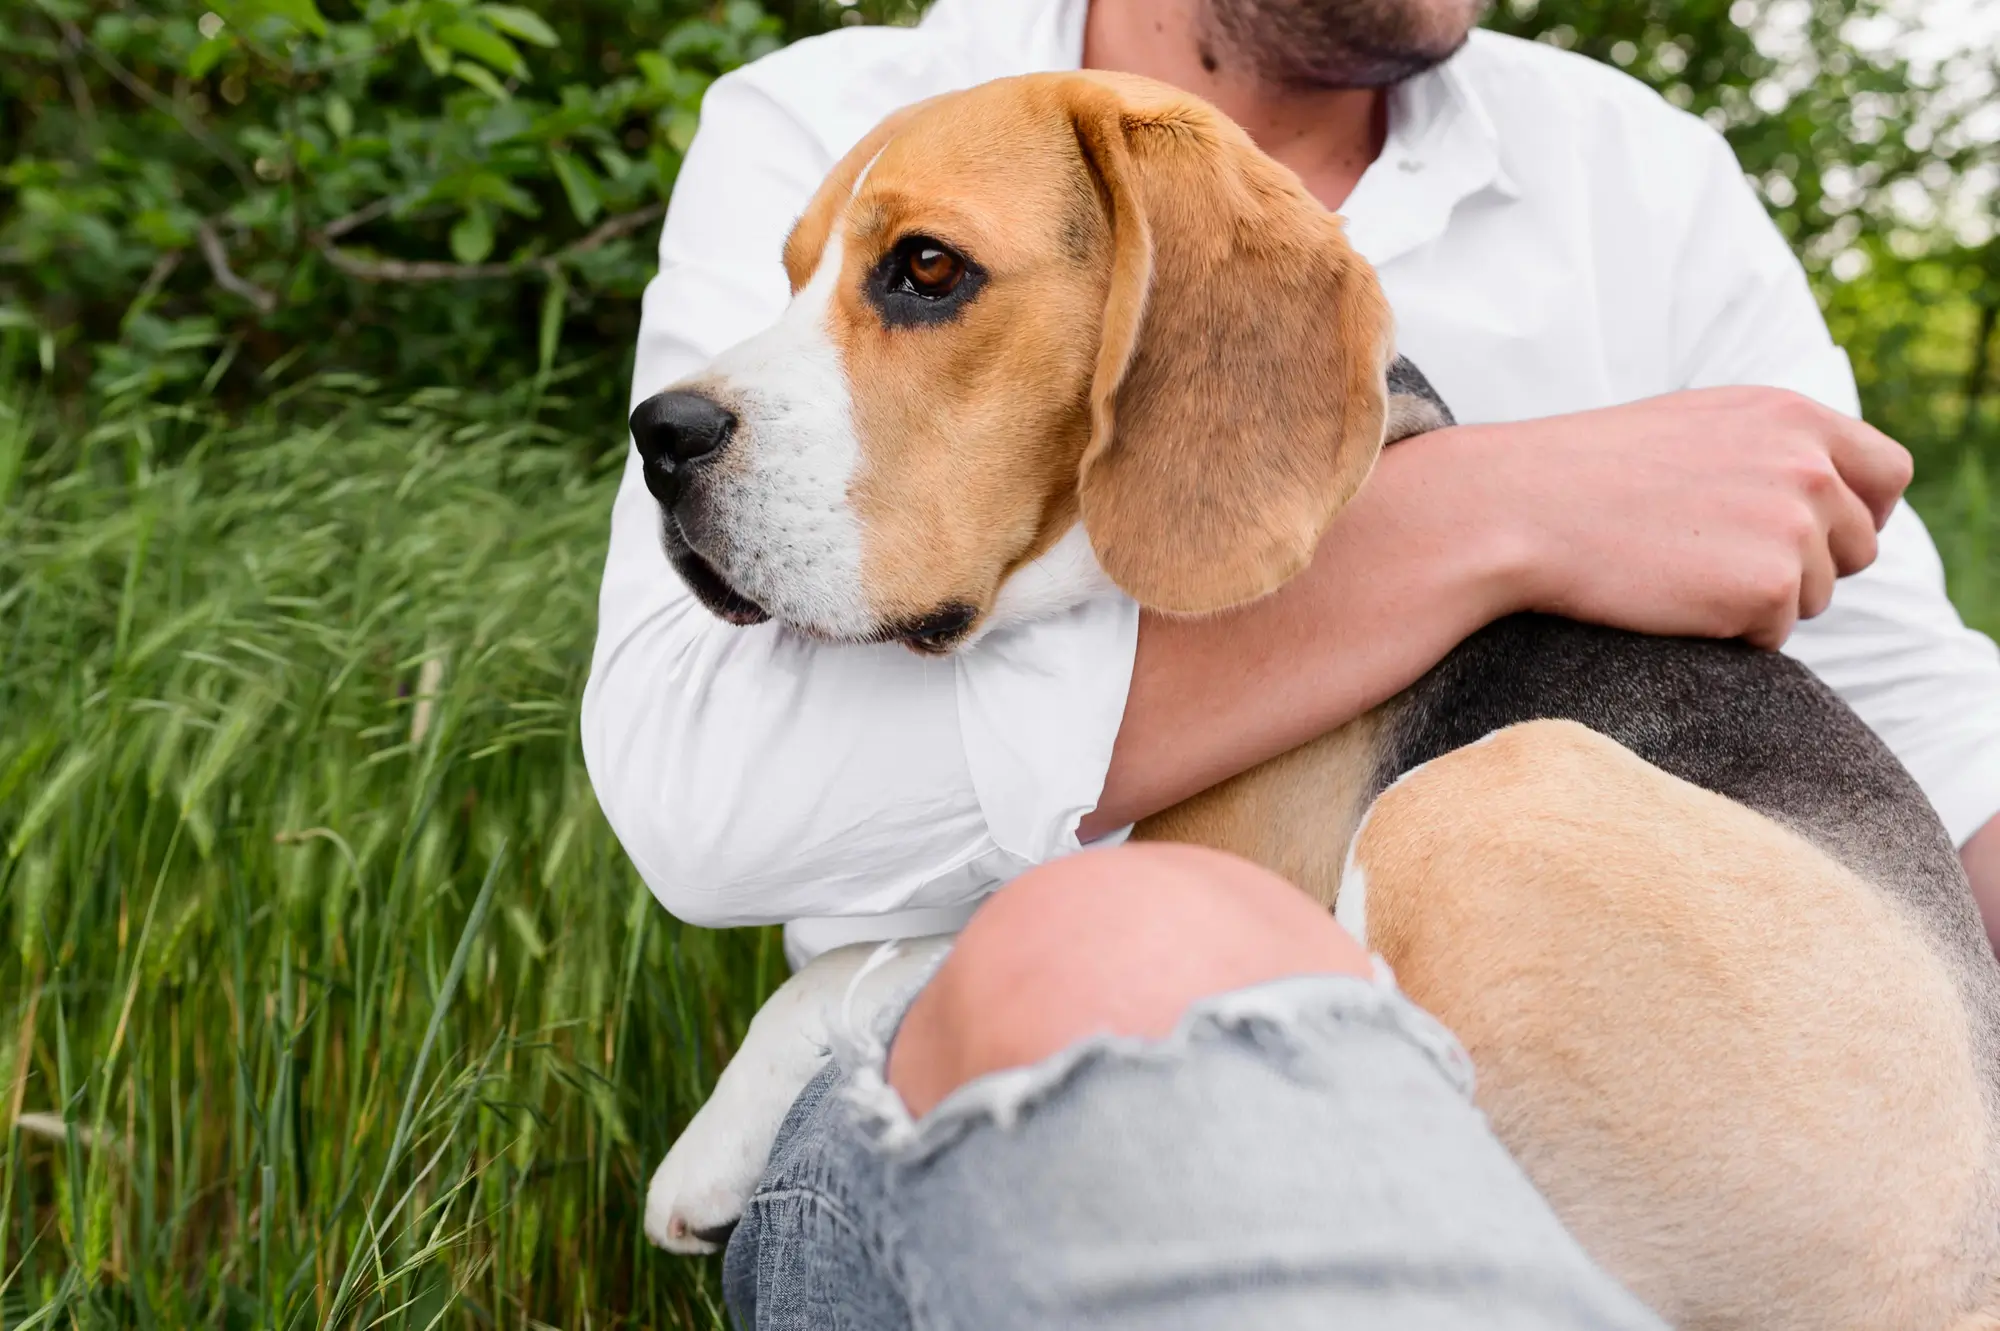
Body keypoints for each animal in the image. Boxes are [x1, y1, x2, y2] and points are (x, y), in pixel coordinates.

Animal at [632, 72, 2000, 1327]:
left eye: (925, 267)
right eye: (789, 272)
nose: (659, 433)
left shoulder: (1238, 865)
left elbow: (942, 925)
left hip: (1480, 793)